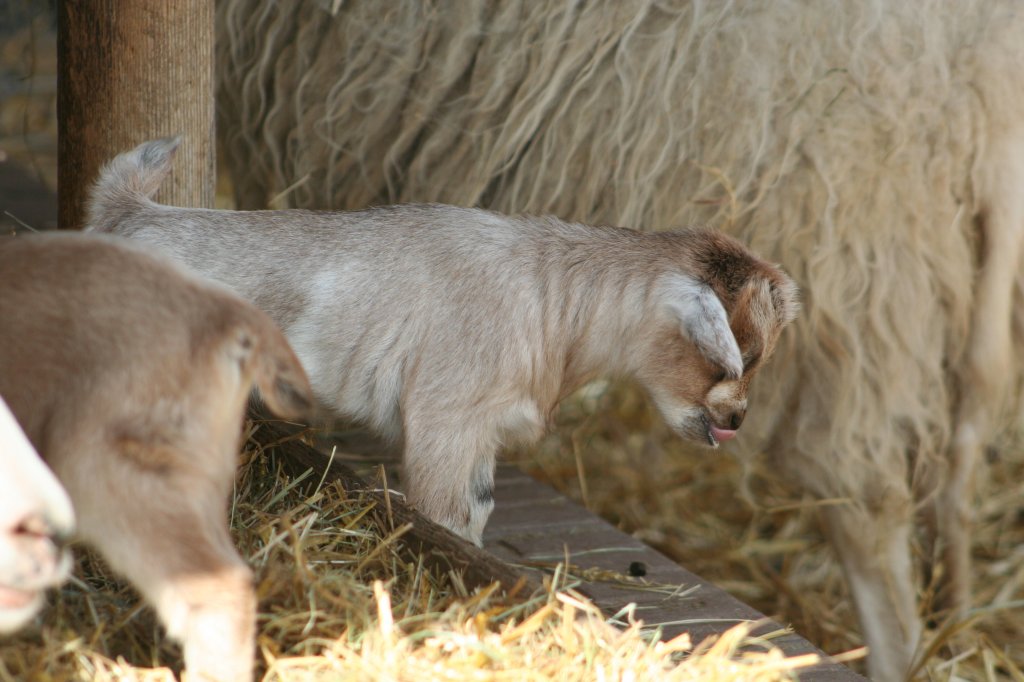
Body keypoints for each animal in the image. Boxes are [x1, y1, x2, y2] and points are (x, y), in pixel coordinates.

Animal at [90, 137, 798, 540]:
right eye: (733, 355)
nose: (736, 421)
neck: (552, 297)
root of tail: (128, 213)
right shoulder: (446, 422)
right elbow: (445, 519)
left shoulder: (480, 437)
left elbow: (476, 516)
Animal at [211, 3, 1024, 675]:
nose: (734, 416)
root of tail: (985, 71)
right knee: (958, 448)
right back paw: (955, 622)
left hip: (852, 233)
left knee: (867, 496)